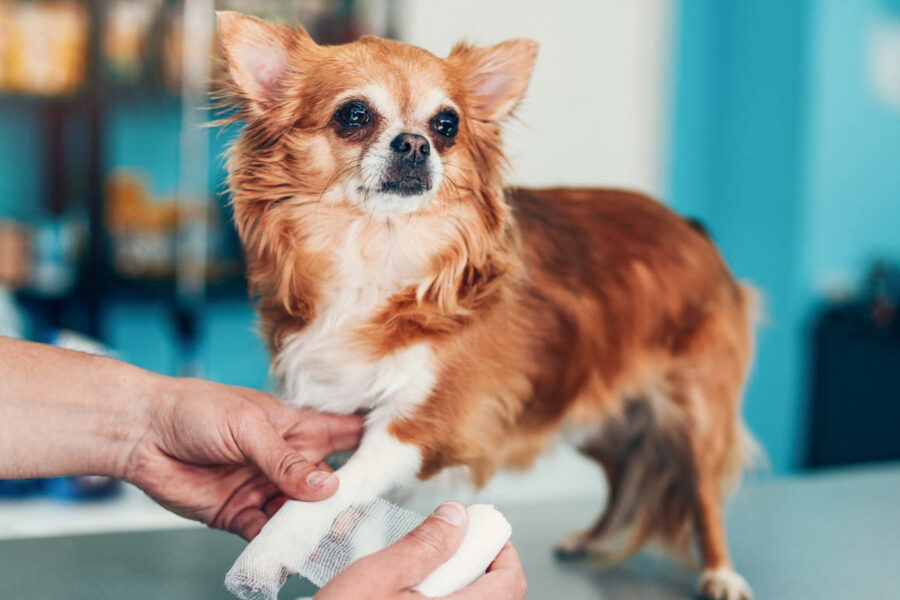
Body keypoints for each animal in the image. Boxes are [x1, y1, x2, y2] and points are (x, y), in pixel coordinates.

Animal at [220, 10, 760, 600]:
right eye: (354, 115)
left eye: (446, 125)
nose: (415, 144)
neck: (378, 252)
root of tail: (692, 228)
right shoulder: (334, 406)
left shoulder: (421, 426)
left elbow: (335, 487)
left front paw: (267, 554)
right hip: (593, 409)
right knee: (623, 474)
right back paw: (592, 539)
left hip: (696, 414)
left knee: (703, 496)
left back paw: (721, 572)